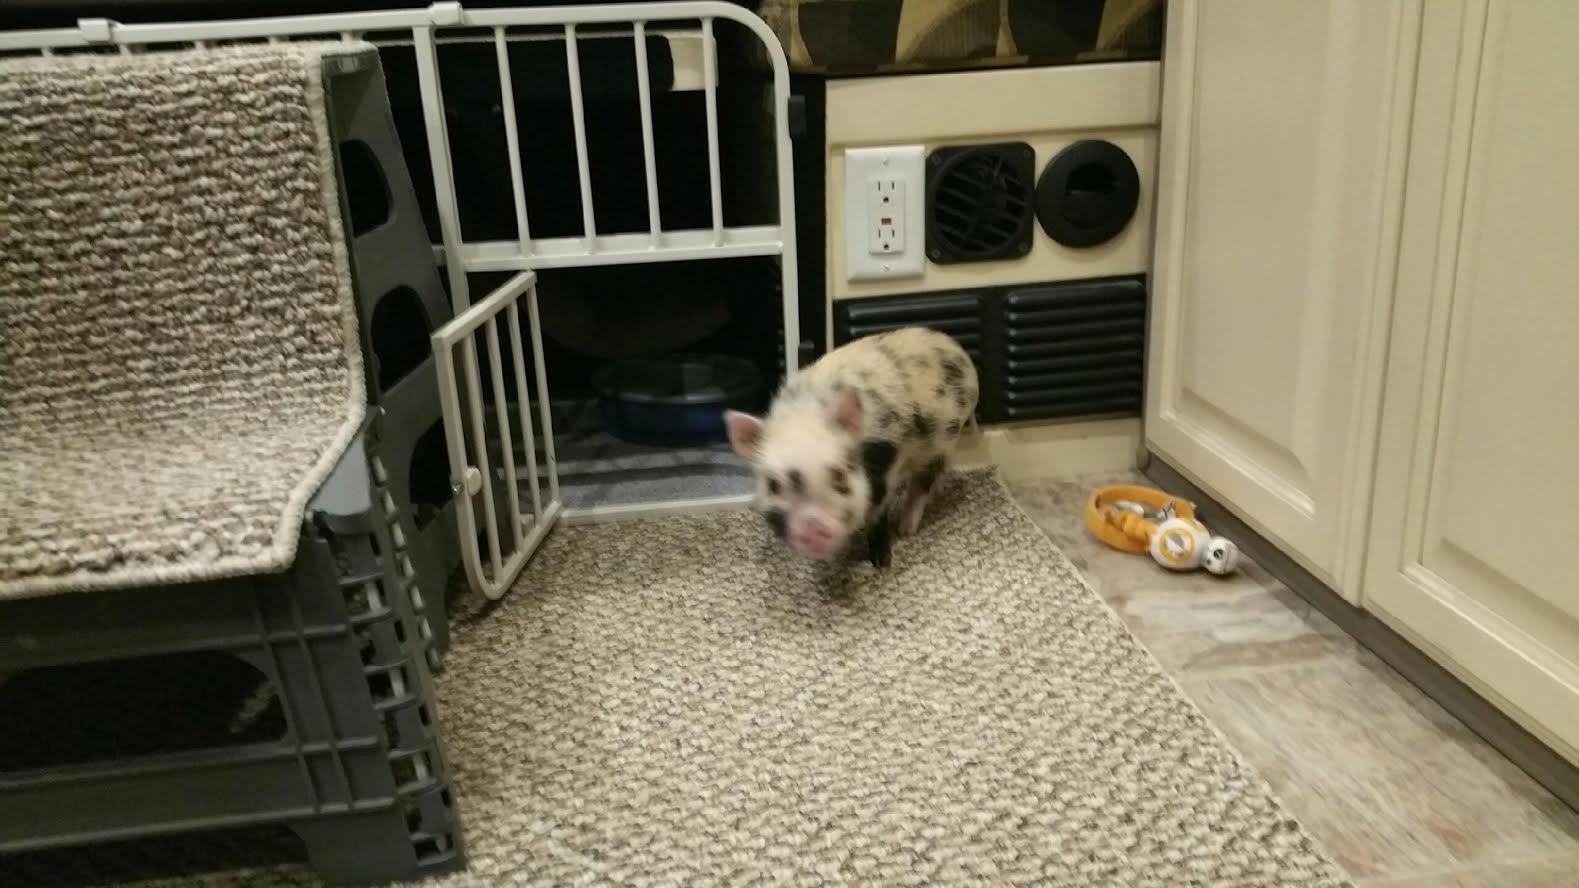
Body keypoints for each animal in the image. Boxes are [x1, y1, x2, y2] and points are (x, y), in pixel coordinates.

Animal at [724, 327, 979, 568]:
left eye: (839, 476)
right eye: (773, 485)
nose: (814, 527)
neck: (805, 413)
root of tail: (958, 351)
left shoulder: (884, 467)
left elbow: (878, 515)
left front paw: (882, 563)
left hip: (945, 437)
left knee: (923, 484)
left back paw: (906, 529)